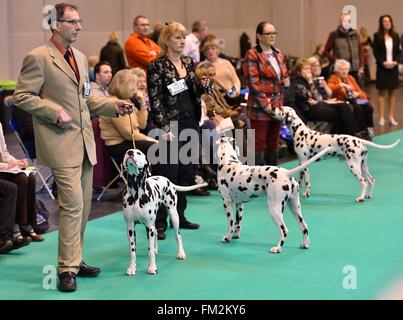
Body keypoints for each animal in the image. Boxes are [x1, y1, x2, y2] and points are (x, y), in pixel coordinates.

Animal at [121, 148, 207, 276]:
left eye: (139, 153)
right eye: (126, 152)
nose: (130, 152)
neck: (136, 194)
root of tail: (168, 180)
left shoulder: (149, 226)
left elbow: (150, 251)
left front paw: (152, 267)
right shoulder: (131, 228)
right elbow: (132, 251)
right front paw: (132, 268)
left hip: (173, 215)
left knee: (178, 235)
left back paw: (181, 253)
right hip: (154, 223)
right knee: (157, 232)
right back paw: (156, 248)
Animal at [274, 107, 402, 202]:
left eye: (281, 108)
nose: (273, 108)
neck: (300, 132)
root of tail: (359, 140)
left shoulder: (305, 163)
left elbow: (307, 182)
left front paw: (306, 193)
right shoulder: (301, 163)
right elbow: (299, 179)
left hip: (354, 167)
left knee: (364, 182)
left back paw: (360, 198)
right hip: (363, 166)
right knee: (371, 180)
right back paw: (368, 195)